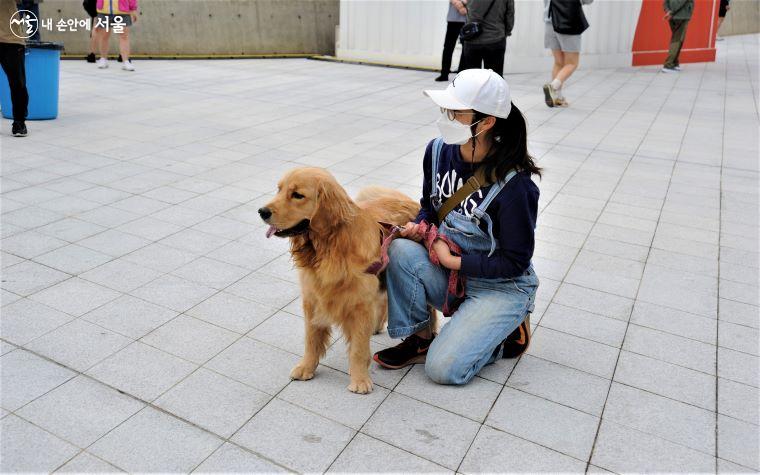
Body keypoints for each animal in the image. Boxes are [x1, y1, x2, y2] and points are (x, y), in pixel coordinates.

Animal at [258, 168, 418, 394]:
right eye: (279, 190)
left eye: (297, 195)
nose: (262, 211)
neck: (330, 247)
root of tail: (411, 202)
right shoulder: (313, 300)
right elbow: (311, 340)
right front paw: (307, 367)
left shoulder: (360, 305)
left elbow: (358, 348)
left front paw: (360, 379)